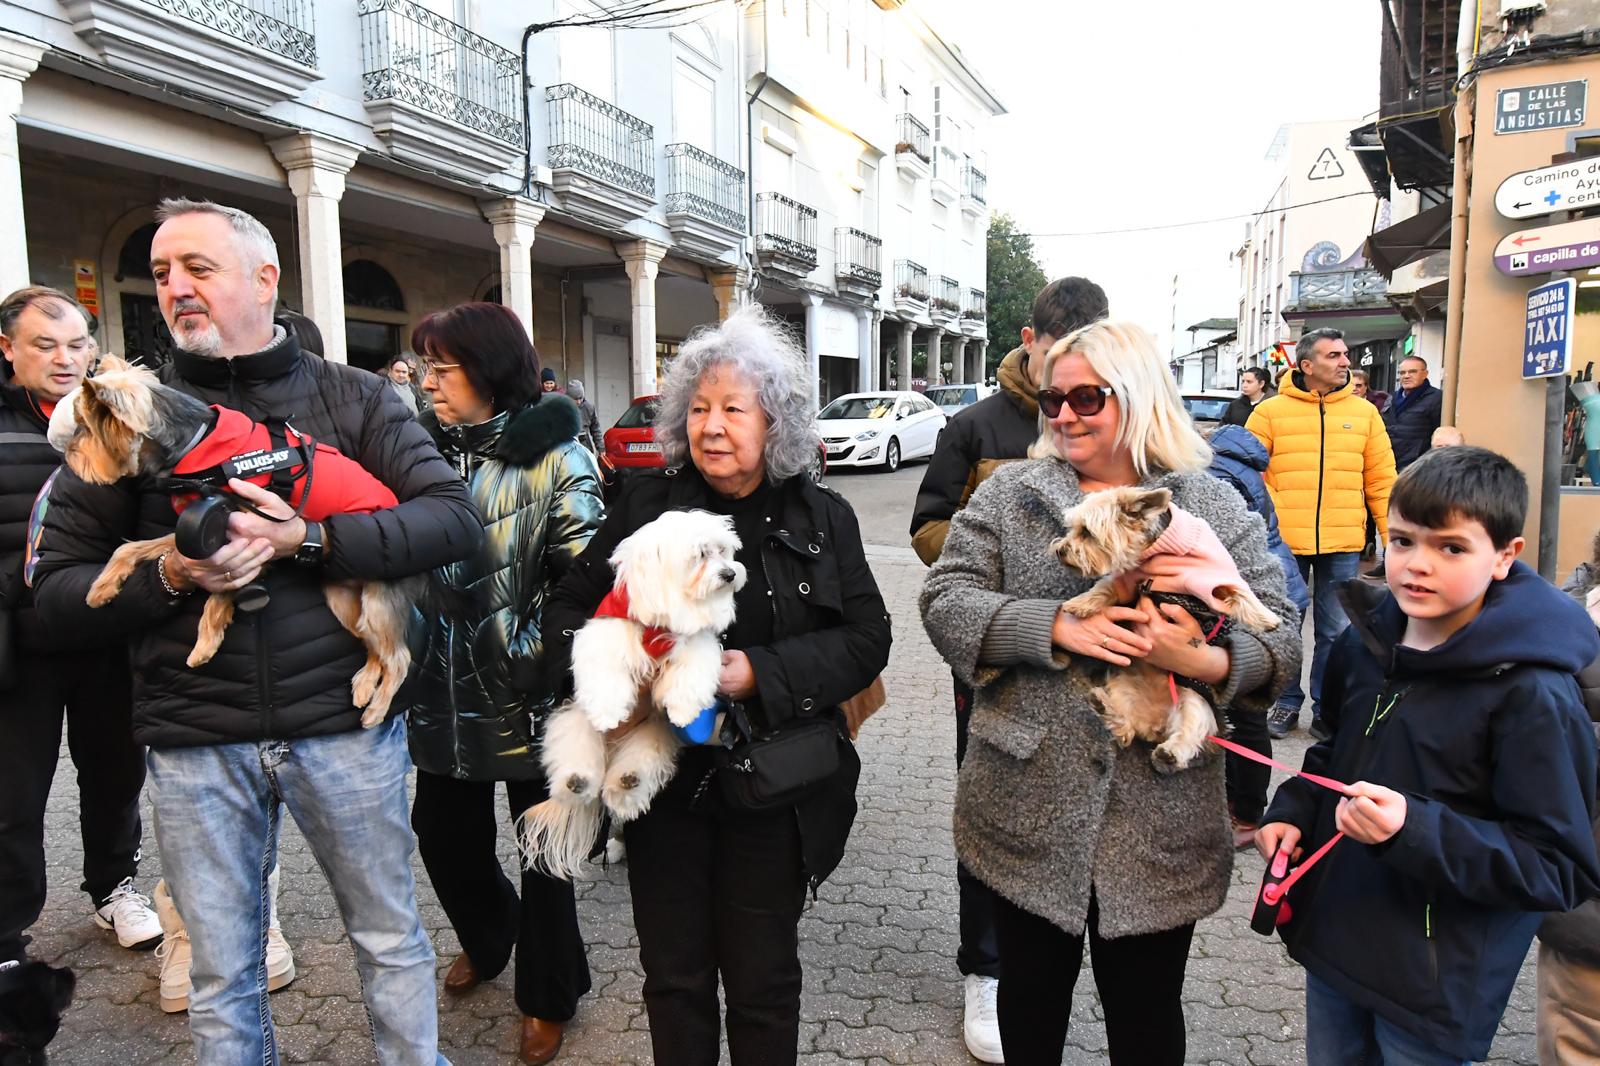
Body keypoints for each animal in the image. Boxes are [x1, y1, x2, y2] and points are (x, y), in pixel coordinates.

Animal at [524, 512, 748, 877]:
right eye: (701, 554)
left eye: (723, 551)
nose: (730, 573)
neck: (661, 622)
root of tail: (612, 752)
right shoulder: (606, 633)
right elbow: (605, 672)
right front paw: (608, 711)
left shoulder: (696, 644)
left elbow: (692, 672)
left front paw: (684, 710)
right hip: (573, 721)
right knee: (575, 758)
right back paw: (577, 781)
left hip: (652, 739)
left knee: (636, 768)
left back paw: (627, 782)